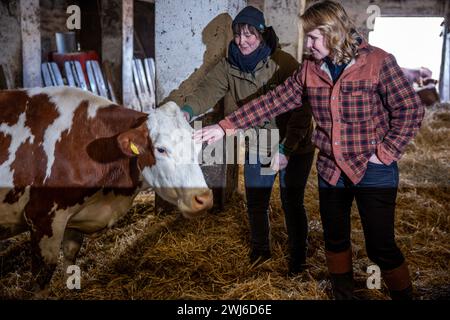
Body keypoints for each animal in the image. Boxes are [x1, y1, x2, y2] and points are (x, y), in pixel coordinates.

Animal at [0, 86, 213, 296]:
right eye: (161, 149)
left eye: (197, 145)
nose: (203, 198)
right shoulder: (42, 218)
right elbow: (41, 280)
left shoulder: (73, 217)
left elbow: (70, 255)